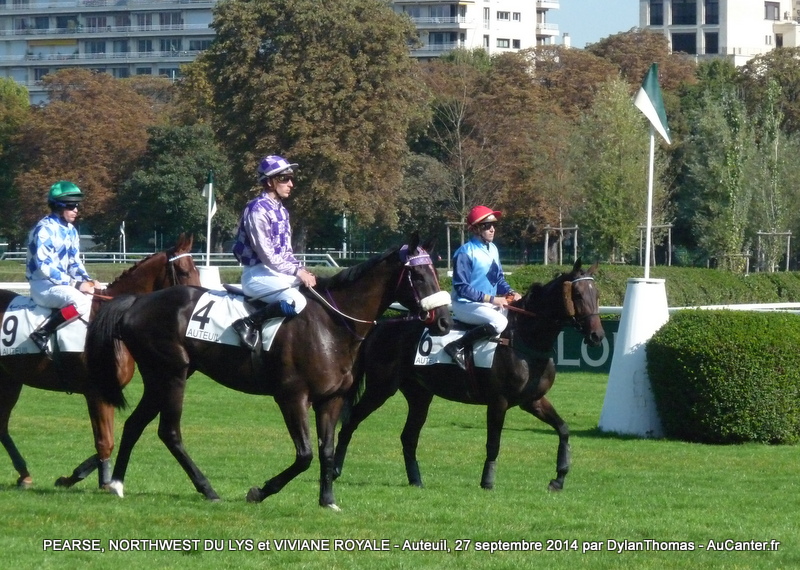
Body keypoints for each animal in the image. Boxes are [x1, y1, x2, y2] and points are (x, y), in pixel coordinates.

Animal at [0, 233, 198, 486]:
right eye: (184, 272)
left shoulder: (108, 391)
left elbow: (110, 442)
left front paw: (78, 476)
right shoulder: (96, 392)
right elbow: (106, 443)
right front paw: (102, 481)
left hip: (10, 381)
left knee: (1, 426)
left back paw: (24, 474)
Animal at [86, 233, 456, 508]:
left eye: (435, 271)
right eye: (418, 275)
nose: (445, 321)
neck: (331, 324)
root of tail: (136, 302)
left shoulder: (331, 399)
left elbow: (326, 450)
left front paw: (327, 499)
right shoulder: (292, 396)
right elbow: (305, 454)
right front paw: (260, 491)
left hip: (160, 378)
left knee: (135, 424)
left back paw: (116, 484)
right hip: (172, 375)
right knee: (170, 432)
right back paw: (207, 489)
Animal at [334, 260, 604, 490]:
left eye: (597, 294)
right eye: (577, 295)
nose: (597, 336)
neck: (523, 338)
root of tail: (380, 326)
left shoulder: (532, 401)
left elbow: (563, 429)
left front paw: (559, 478)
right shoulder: (498, 402)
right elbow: (493, 443)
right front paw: (487, 481)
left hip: (420, 395)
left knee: (408, 437)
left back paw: (416, 481)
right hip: (381, 388)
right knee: (351, 421)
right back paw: (335, 469)